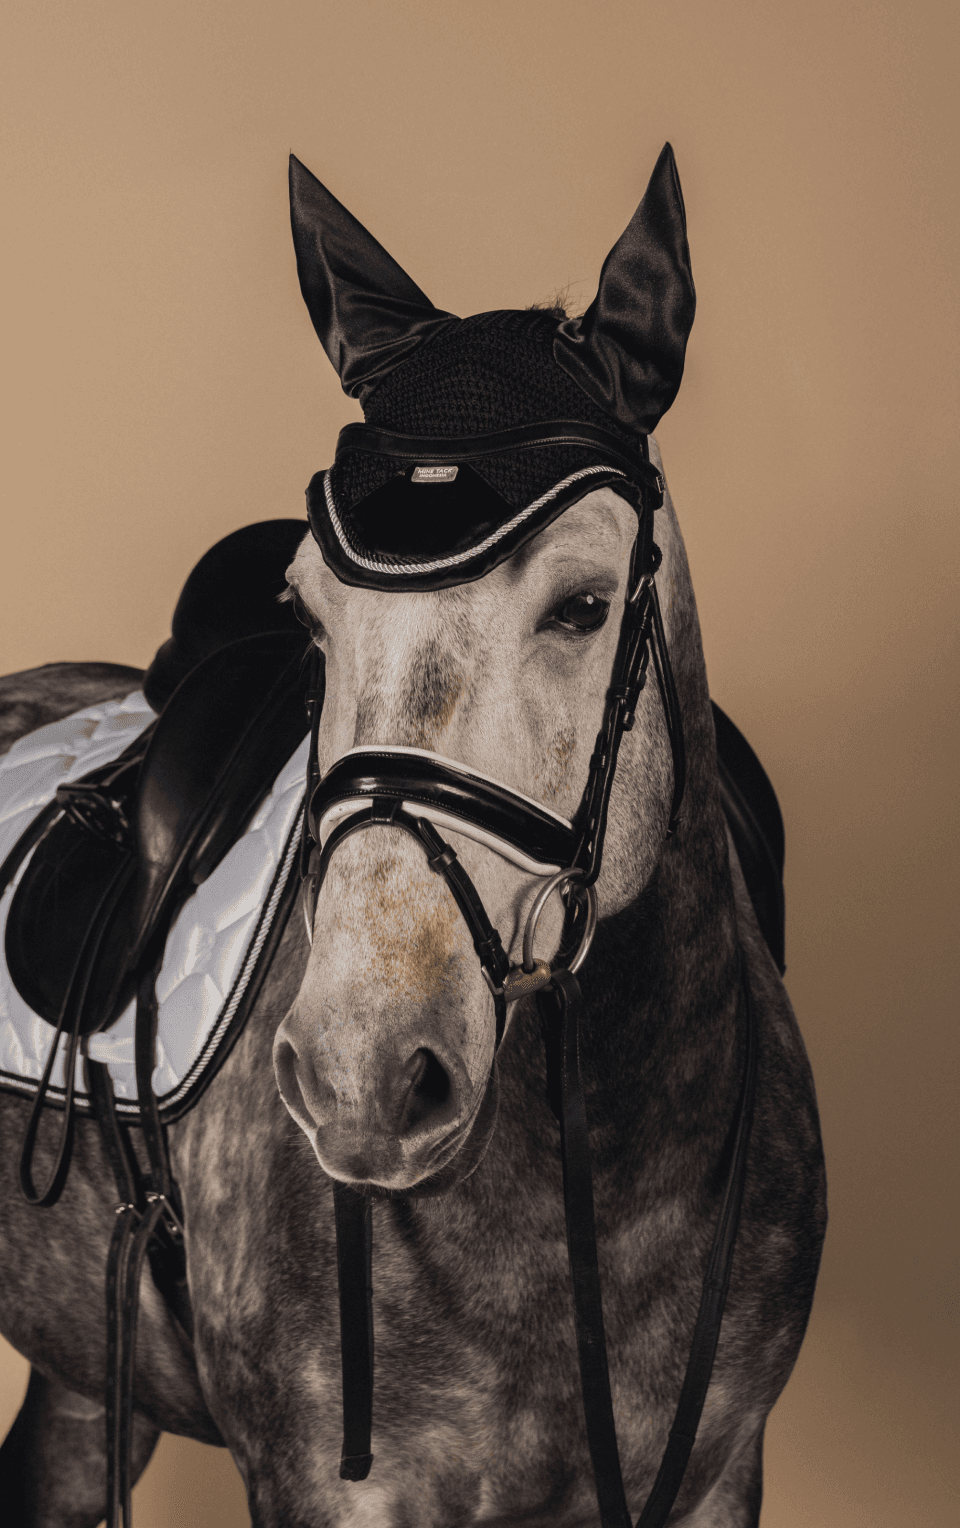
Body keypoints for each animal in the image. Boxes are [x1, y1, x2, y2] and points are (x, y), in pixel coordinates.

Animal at [0, 146, 826, 1527]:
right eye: (305, 616)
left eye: (584, 604)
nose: (362, 1076)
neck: (593, 1165)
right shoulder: (333, 1491)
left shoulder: (722, 1467)